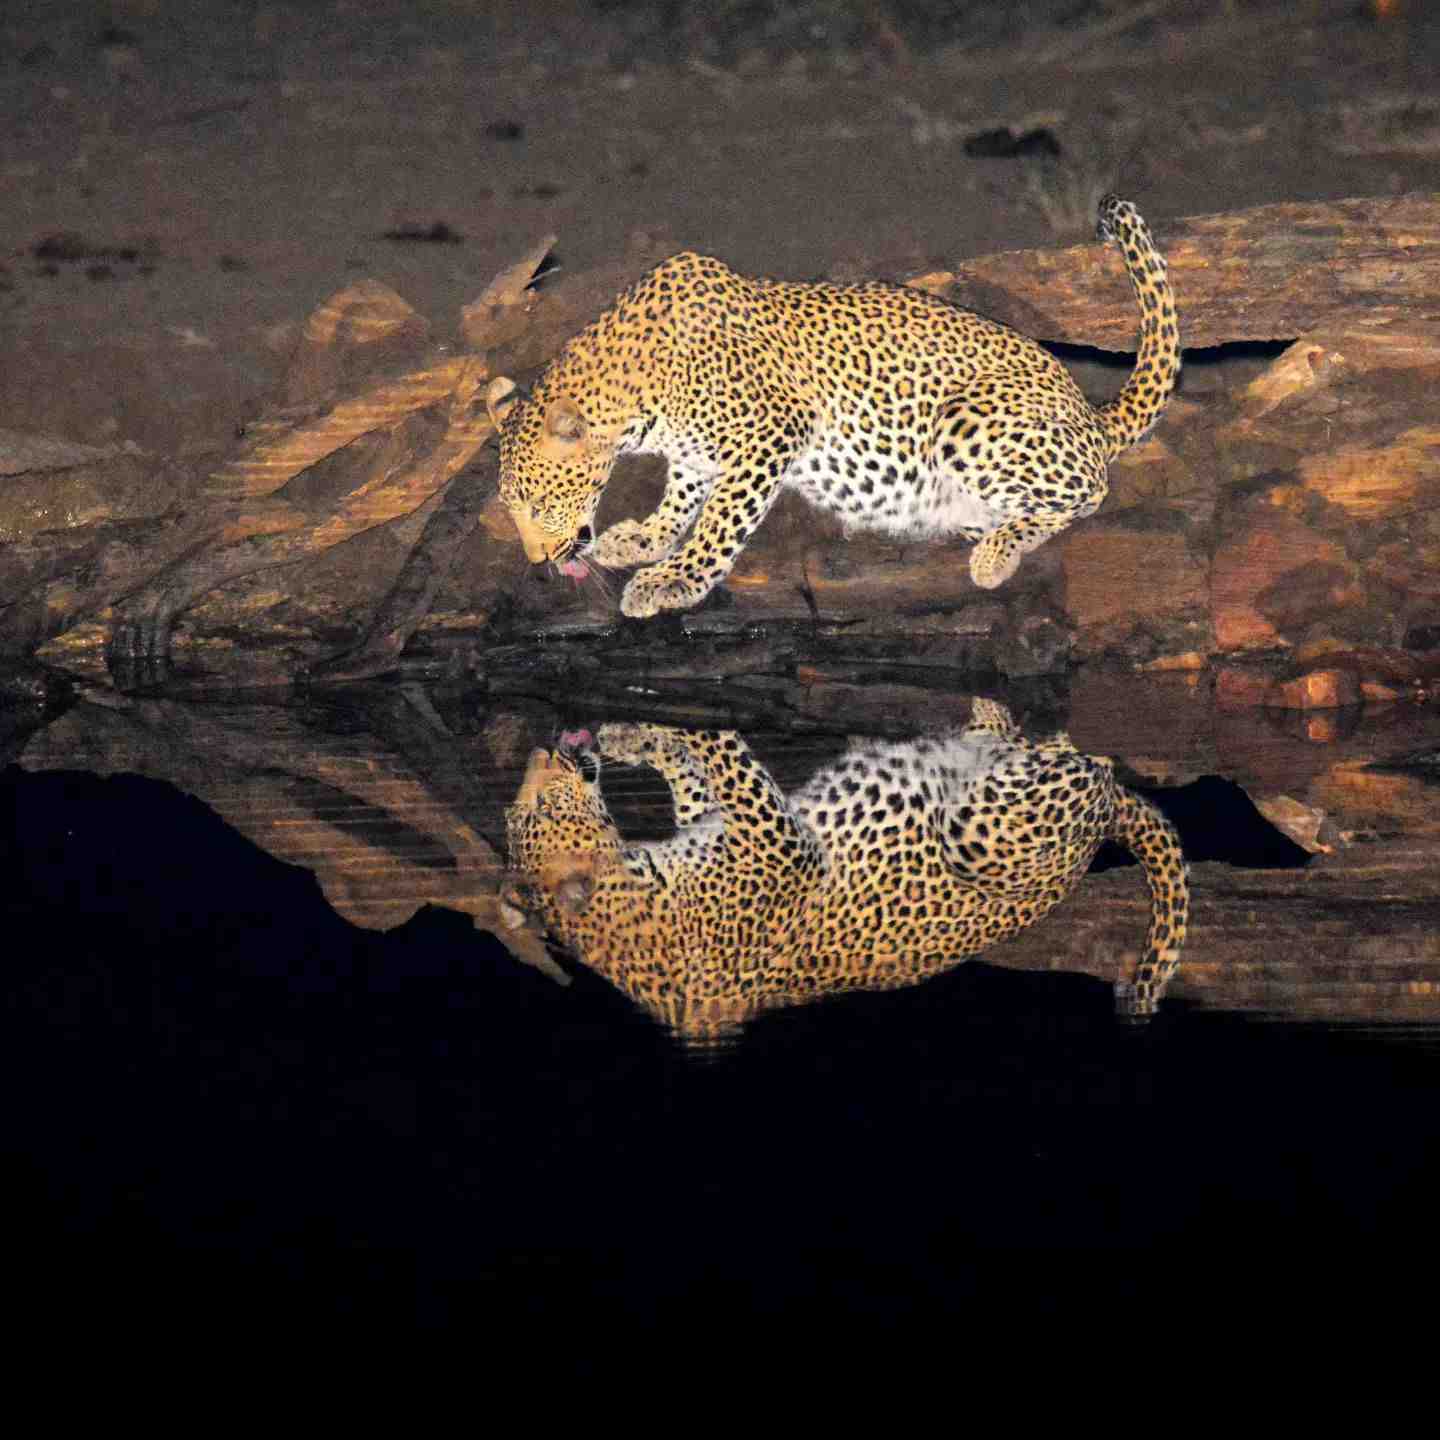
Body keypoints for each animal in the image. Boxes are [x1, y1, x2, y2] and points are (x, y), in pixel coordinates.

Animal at [485, 194, 1180, 618]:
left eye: (539, 505)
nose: (537, 562)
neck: (636, 397)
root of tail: (1091, 413)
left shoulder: (771, 429)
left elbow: (719, 520)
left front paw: (673, 577)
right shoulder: (695, 452)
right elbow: (683, 493)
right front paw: (644, 537)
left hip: (968, 421)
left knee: (1089, 492)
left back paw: (995, 554)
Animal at [499, 700, 1190, 1042]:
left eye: (524, 808)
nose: (541, 748)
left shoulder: (722, 822)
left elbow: (696, 775)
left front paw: (635, 733)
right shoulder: (781, 842)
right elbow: (727, 754)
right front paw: (691, 711)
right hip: (984, 832)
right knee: (1088, 768)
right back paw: (1051, 741)